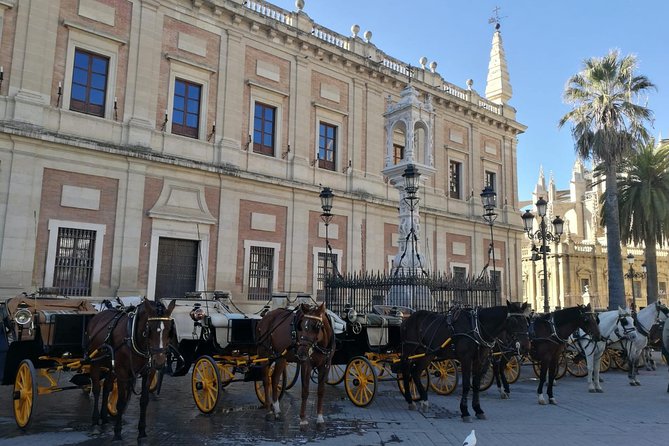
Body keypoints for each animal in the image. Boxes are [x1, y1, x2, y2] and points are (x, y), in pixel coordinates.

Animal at [85, 296, 175, 442]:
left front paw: (142, 431)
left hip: (110, 365)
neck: (133, 336)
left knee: (107, 388)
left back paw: (104, 417)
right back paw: (95, 420)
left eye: (169, 331)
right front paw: (117, 432)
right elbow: (121, 401)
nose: (160, 362)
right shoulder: (122, 372)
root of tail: (98, 316)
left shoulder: (148, 372)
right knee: (97, 389)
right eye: (149, 330)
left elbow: (144, 400)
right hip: (95, 362)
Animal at [400, 300, 528, 422]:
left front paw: (478, 409)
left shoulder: (479, 360)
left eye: (526, 321)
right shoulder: (466, 359)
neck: (476, 327)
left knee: (415, 372)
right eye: (514, 321)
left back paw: (424, 400)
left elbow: (476, 384)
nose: (525, 346)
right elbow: (466, 385)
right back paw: (410, 400)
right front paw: (465, 412)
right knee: (406, 370)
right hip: (409, 350)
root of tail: (407, 319)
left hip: (428, 354)